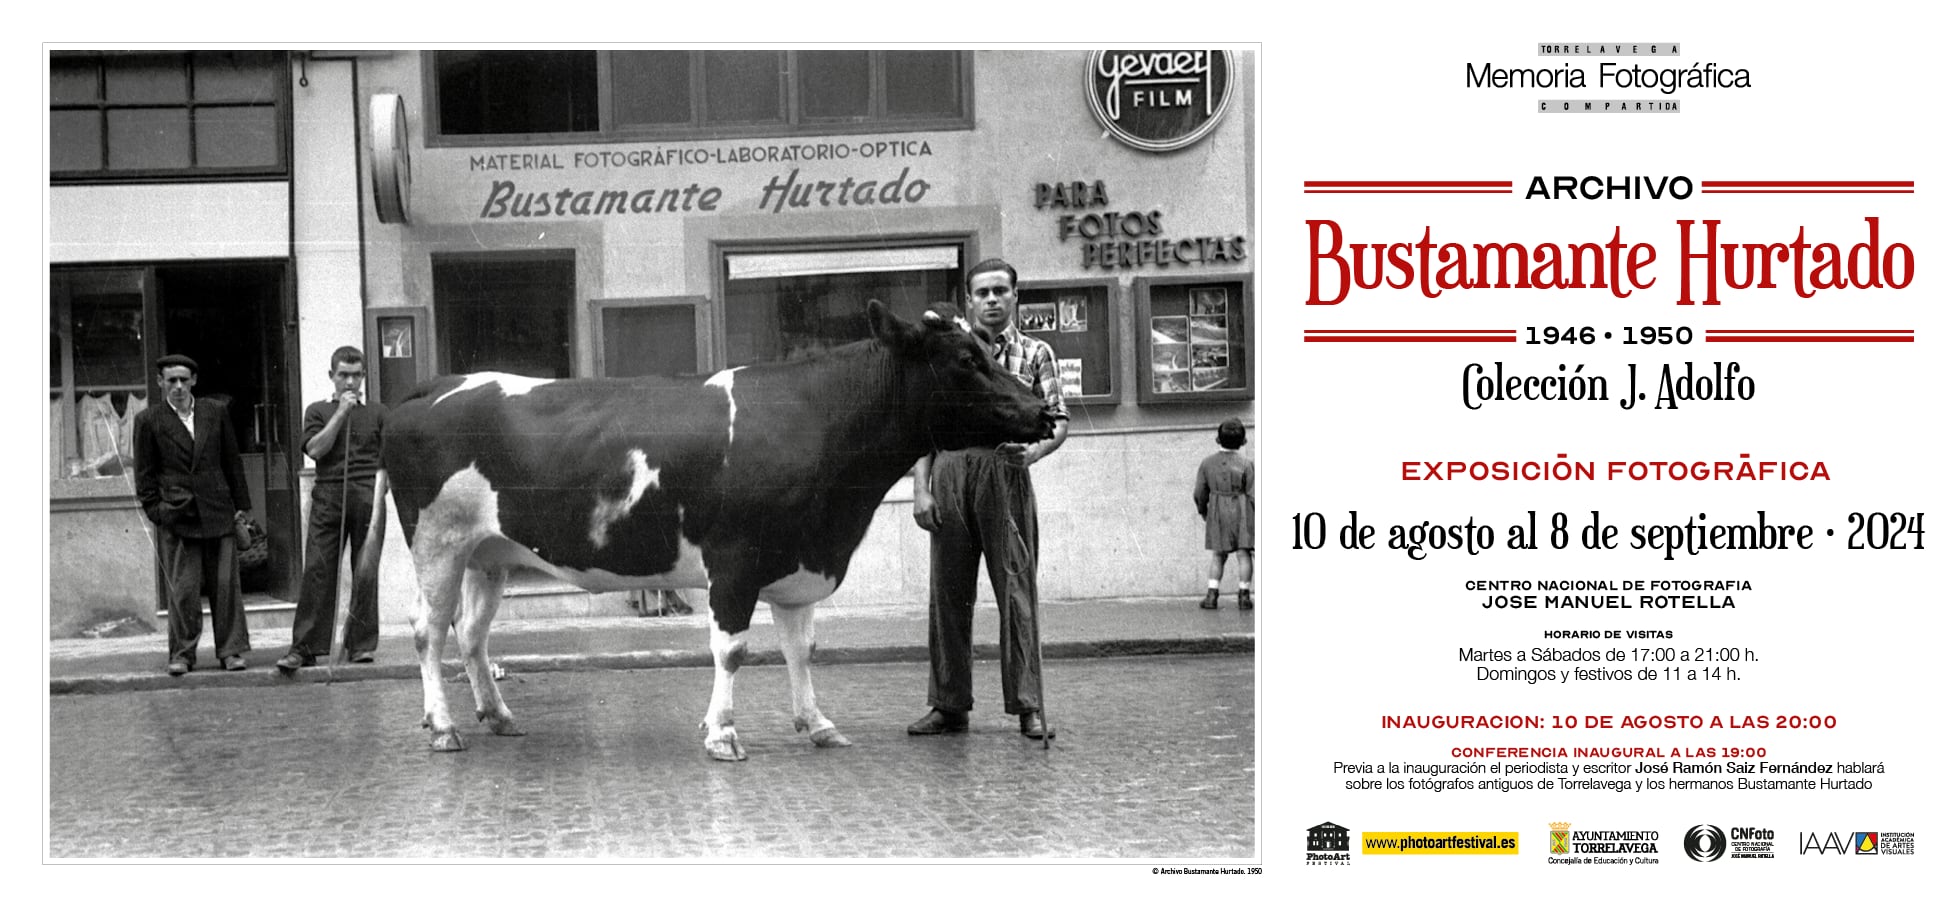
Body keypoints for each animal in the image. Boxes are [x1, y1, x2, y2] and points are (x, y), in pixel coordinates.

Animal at [352, 303, 1056, 759]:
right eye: (964, 359)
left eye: (989, 349)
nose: (1044, 409)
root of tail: (433, 385)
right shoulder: (735, 562)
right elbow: (732, 650)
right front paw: (722, 734)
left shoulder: (798, 561)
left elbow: (802, 650)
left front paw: (817, 723)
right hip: (438, 542)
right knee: (428, 630)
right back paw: (444, 727)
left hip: (488, 552)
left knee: (471, 633)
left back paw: (497, 717)